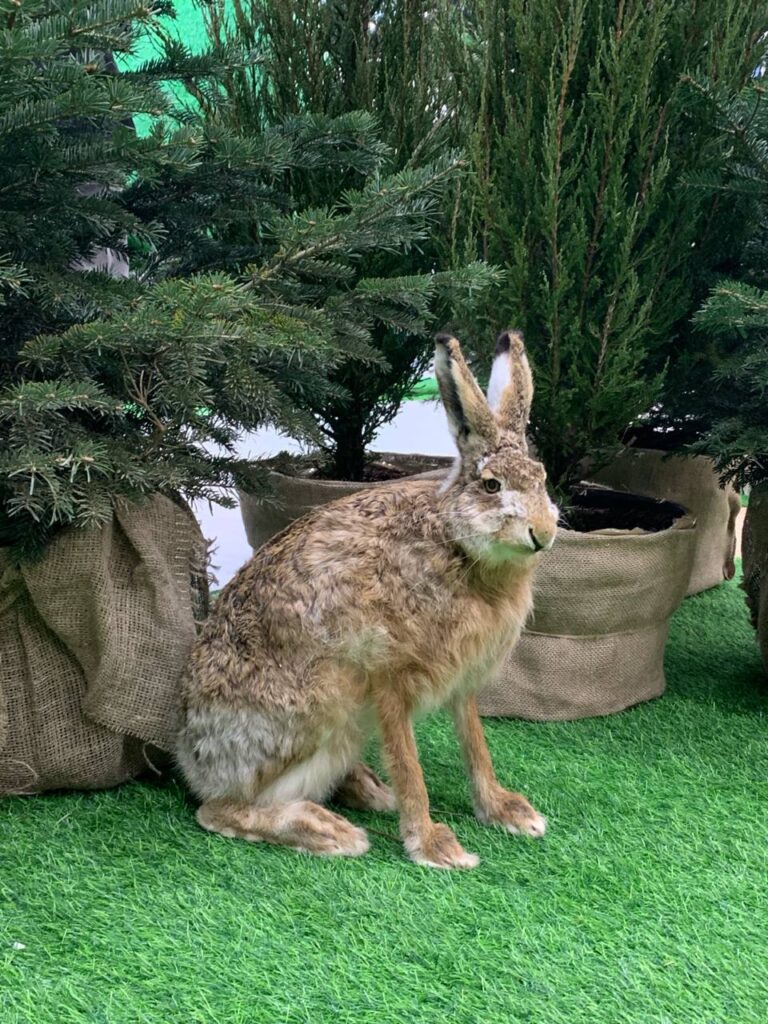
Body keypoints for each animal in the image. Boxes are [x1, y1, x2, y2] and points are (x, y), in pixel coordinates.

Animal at [177, 330, 558, 869]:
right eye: (491, 485)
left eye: (542, 478)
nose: (542, 533)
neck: (455, 546)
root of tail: (190, 754)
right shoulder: (389, 676)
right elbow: (409, 763)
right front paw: (433, 845)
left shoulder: (462, 681)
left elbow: (475, 744)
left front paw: (506, 811)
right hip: (323, 705)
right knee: (218, 810)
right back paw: (328, 831)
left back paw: (369, 791)